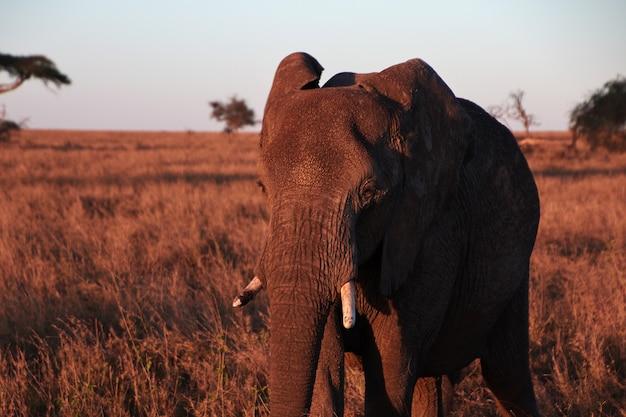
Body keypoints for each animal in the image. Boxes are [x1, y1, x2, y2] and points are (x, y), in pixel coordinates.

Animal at [232, 52, 540, 416]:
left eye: (370, 193)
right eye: (262, 187)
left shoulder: (431, 234)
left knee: (507, 376)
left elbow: (390, 373)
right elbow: (325, 367)